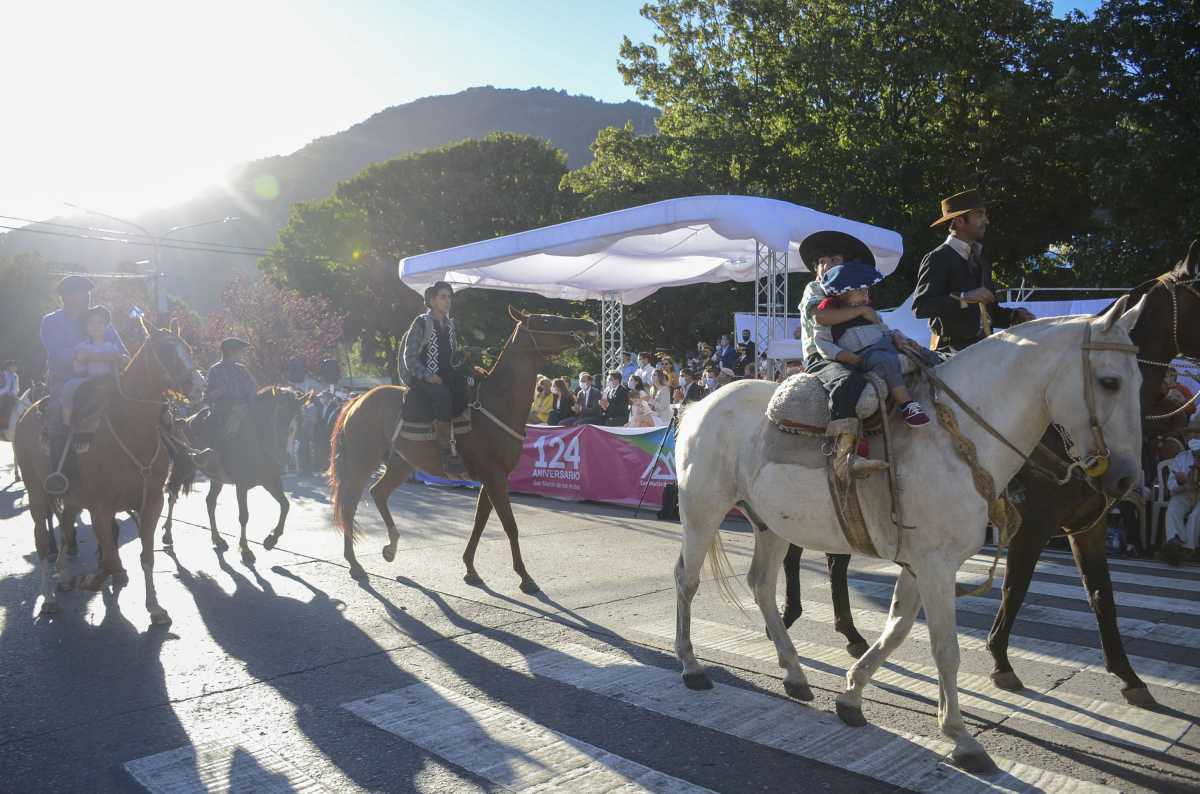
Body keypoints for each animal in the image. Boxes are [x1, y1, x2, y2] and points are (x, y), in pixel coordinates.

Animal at [12, 321, 204, 623]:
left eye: (188, 350)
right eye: (165, 351)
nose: (198, 385)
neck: (130, 431)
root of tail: (27, 412)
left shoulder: (152, 503)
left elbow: (145, 556)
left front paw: (154, 607)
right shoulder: (100, 508)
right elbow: (112, 558)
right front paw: (93, 579)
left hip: (71, 501)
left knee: (65, 530)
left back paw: (63, 578)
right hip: (37, 495)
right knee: (43, 542)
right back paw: (49, 598)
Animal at [162, 386, 312, 558]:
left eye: (300, 419)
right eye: (280, 417)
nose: (285, 457)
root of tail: (182, 422)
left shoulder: (270, 481)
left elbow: (285, 505)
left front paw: (272, 539)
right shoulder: (242, 485)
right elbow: (244, 515)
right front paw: (245, 548)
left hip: (216, 479)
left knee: (210, 502)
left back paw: (217, 538)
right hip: (182, 467)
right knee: (172, 495)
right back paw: (167, 533)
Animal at [328, 307, 595, 587]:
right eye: (546, 320)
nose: (587, 325)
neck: (497, 401)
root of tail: (356, 401)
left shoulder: (491, 478)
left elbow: (480, 522)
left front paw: (470, 568)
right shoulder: (494, 477)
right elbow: (509, 524)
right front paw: (524, 576)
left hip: (401, 463)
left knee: (378, 493)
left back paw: (390, 547)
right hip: (361, 462)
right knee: (349, 505)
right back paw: (355, 563)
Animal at [676, 298, 1142, 772]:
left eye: (1139, 379)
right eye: (1109, 381)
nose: (1125, 480)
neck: (958, 437)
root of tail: (699, 404)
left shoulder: (922, 563)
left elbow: (897, 629)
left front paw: (852, 696)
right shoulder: (936, 566)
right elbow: (945, 648)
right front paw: (961, 737)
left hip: (770, 524)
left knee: (761, 585)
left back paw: (793, 672)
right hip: (702, 512)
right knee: (687, 580)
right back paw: (692, 665)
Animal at [777, 237, 1200, 710]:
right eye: (1109, 382)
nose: (1126, 479)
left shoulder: (1087, 524)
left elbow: (1101, 596)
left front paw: (1128, 675)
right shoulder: (1032, 523)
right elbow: (1016, 587)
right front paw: (1001, 661)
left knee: (831, 557)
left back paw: (846, 633)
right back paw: (796, 616)